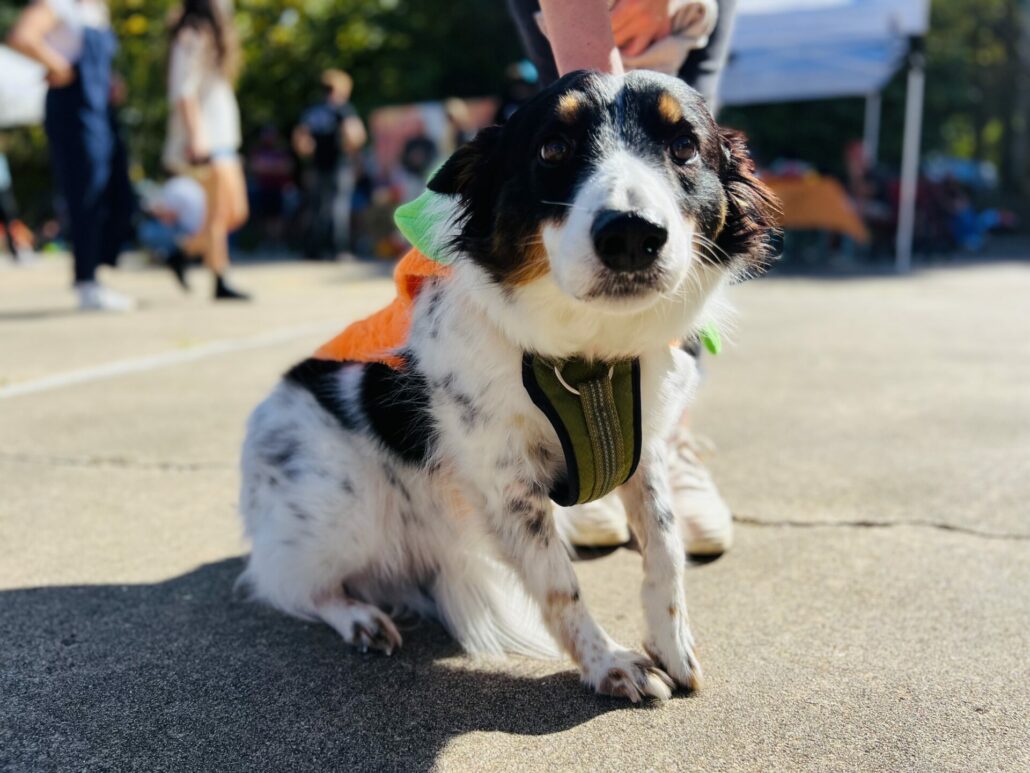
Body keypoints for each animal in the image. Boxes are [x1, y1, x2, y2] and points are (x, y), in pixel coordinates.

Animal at [238, 71, 774, 700]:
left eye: (684, 146)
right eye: (553, 149)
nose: (631, 235)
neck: (593, 356)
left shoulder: (644, 452)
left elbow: (665, 549)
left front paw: (671, 644)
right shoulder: (506, 483)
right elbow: (559, 583)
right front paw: (607, 664)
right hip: (345, 507)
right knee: (290, 583)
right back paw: (359, 617)